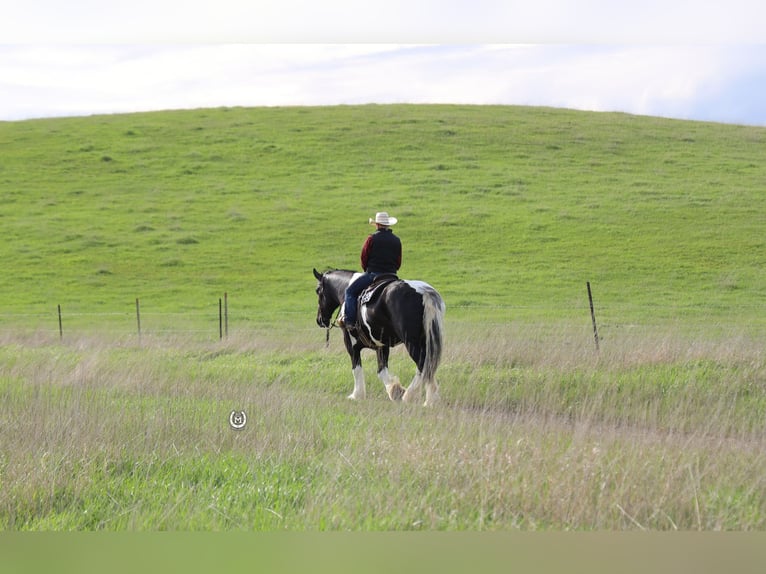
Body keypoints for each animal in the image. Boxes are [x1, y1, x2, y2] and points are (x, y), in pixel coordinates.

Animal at [312, 268, 448, 408]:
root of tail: (424, 292)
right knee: (429, 367)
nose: (319, 320)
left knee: (423, 365)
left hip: (411, 342)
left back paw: (410, 396)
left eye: (318, 290)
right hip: (425, 340)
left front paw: (356, 395)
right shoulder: (381, 346)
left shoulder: (351, 344)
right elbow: (381, 370)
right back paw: (429, 400)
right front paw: (395, 390)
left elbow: (357, 368)